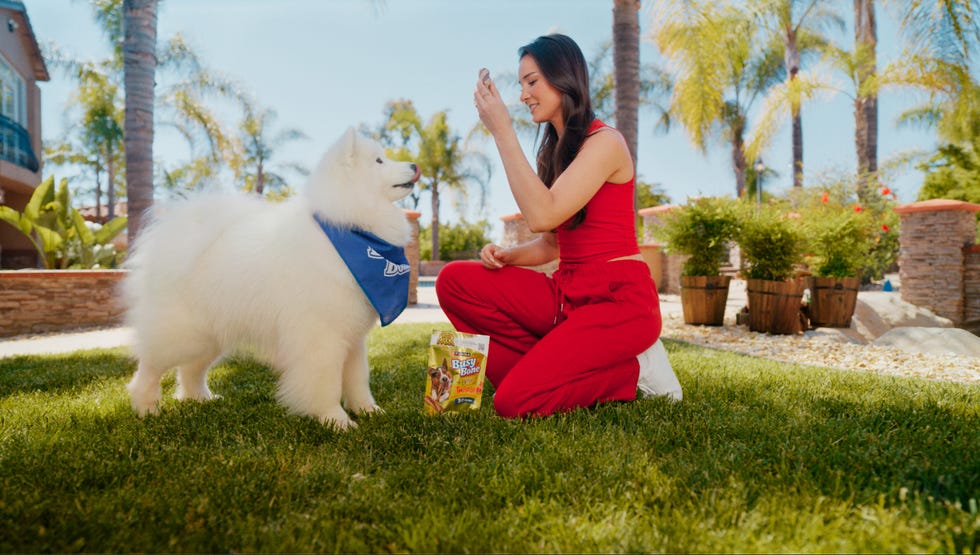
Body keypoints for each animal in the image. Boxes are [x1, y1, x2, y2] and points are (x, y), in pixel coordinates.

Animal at [121, 127, 418, 430]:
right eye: (379, 161)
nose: (415, 165)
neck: (353, 233)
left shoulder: (352, 337)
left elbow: (358, 379)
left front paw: (368, 411)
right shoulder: (322, 337)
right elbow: (327, 384)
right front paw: (335, 421)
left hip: (209, 335)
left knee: (190, 370)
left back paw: (201, 399)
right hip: (182, 334)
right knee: (149, 369)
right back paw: (147, 409)